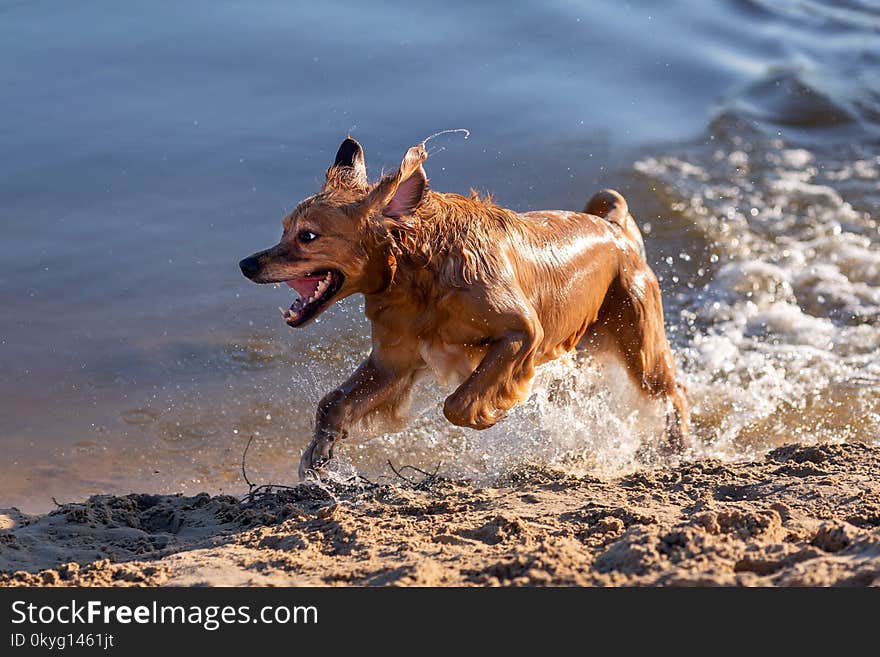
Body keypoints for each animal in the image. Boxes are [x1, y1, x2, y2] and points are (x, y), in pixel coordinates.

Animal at [239, 138, 688, 476]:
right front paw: (318, 454)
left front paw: (491, 414)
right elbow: (332, 403)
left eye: (308, 236)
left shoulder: (524, 333)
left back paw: (676, 450)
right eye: (284, 229)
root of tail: (613, 228)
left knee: (674, 393)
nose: (246, 264)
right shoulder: (393, 361)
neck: (422, 274)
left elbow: (456, 404)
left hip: (640, 345)